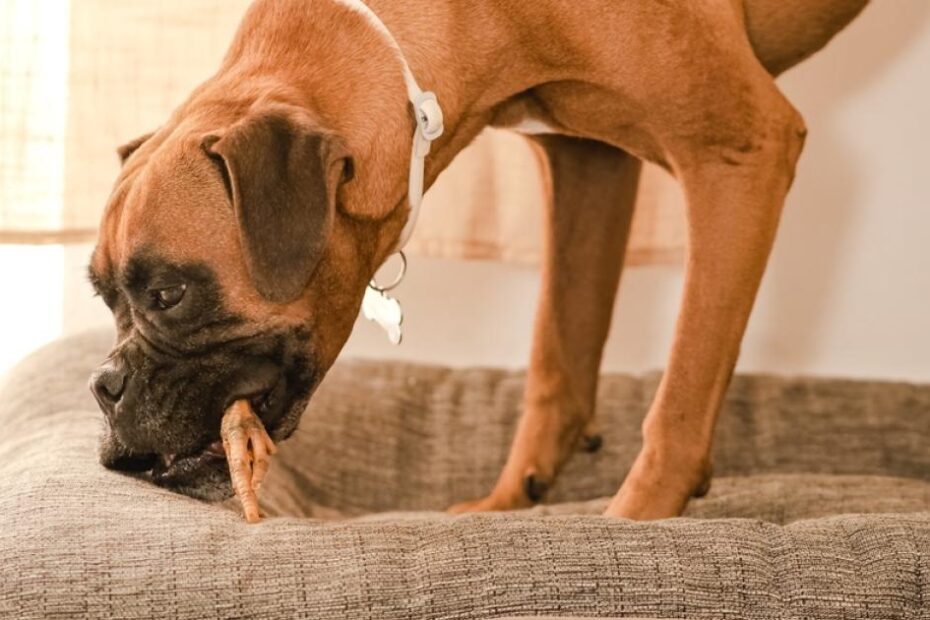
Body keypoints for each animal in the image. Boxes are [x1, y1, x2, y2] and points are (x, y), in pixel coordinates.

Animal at [87, 0, 872, 516]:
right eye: (102, 297)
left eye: (169, 294)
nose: (103, 385)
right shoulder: (587, 162)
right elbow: (559, 356)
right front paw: (510, 502)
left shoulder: (740, 147)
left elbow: (681, 392)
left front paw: (634, 521)